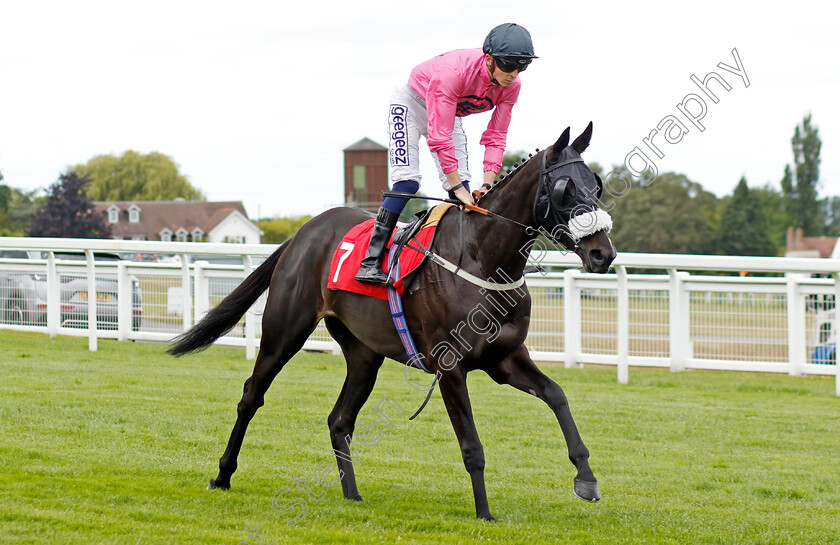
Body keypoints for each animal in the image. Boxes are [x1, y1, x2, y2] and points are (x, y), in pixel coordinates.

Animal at [169, 122, 616, 520]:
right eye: (565, 189)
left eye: (595, 185)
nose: (603, 253)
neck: (483, 260)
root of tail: (302, 233)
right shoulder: (450, 367)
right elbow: (472, 446)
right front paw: (485, 514)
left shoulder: (504, 359)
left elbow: (557, 395)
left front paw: (586, 479)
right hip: (285, 331)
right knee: (252, 396)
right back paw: (223, 475)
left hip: (364, 354)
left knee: (339, 420)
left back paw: (351, 494)